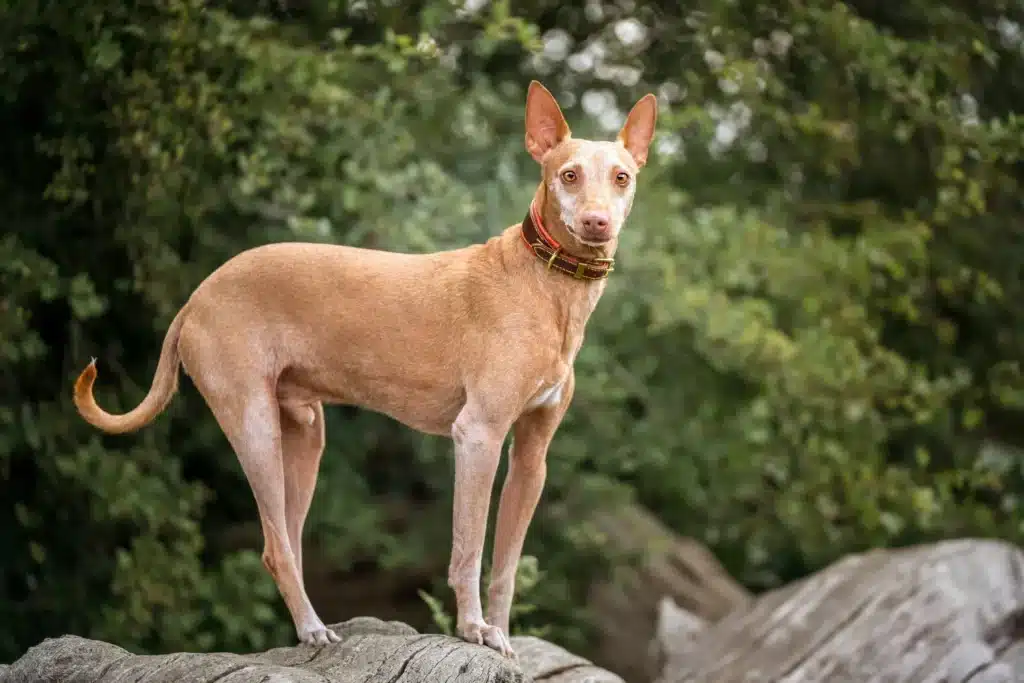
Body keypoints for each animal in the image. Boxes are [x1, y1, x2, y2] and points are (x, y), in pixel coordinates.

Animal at [74, 81, 655, 663]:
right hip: (255, 427)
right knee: (275, 547)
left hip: (305, 436)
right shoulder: (479, 435)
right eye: (569, 175)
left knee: (288, 541)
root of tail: (197, 297)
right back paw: (313, 630)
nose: (598, 223)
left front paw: (501, 635)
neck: (546, 284)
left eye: (622, 177)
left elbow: (506, 567)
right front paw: (472, 629)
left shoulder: (531, 459)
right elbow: (469, 549)